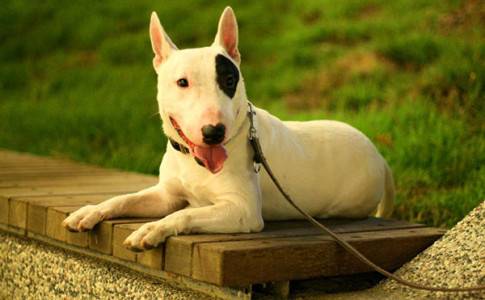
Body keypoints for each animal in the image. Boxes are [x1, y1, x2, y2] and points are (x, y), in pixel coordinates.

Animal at [61, 6, 394, 251]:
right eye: (182, 82)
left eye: (229, 81)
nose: (214, 132)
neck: (192, 161)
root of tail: (380, 156)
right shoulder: (165, 194)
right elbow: (124, 198)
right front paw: (89, 210)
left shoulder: (243, 210)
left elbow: (185, 212)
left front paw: (154, 228)